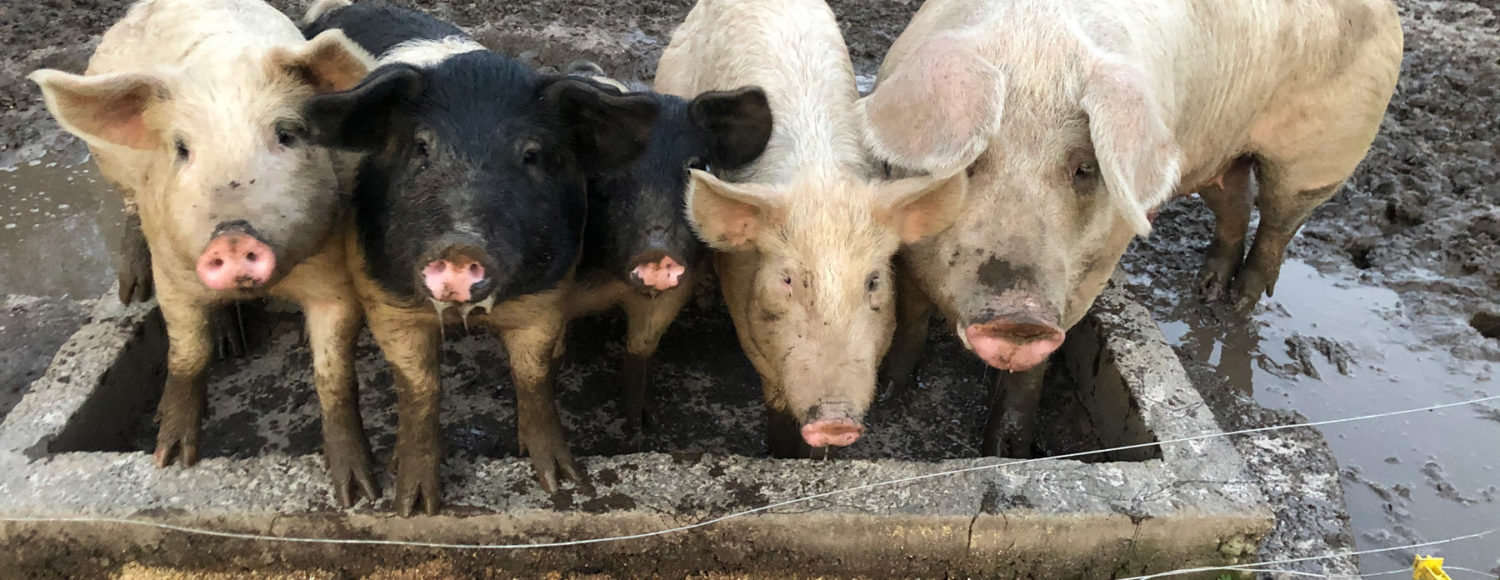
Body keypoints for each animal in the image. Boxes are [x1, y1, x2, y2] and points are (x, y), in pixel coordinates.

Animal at [28, 0, 380, 505]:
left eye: (287, 134)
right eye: (181, 148)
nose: (231, 239)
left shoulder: (333, 275)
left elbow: (333, 374)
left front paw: (358, 493)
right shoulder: (174, 272)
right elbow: (187, 356)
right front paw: (171, 460)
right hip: (115, 173)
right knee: (130, 212)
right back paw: (136, 295)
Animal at [300, 0, 659, 515]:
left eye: (531, 155)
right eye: (422, 147)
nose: (460, 246)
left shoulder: (547, 297)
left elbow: (534, 380)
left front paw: (562, 483)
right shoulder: (386, 302)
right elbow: (420, 391)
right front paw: (413, 507)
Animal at [558, 60, 773, 439]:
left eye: (698, 167)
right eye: (604, 175)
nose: (657, 253)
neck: (606, 285)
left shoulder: (675, 290)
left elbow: (642, 348)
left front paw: (642, 428)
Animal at [858, 0, 1403, 455]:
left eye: (1084, 168)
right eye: (972, 161)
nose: (1021, 317)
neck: (1037, 45)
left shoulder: (1092, 267)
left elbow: (1033, 368)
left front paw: (1004, 453)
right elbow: (910, 317)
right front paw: (890, 395)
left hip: (1322, 154)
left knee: (1277, 223)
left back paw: (1237, 304)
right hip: (1216, 154)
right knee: (1235, 204)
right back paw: (1207, 291)